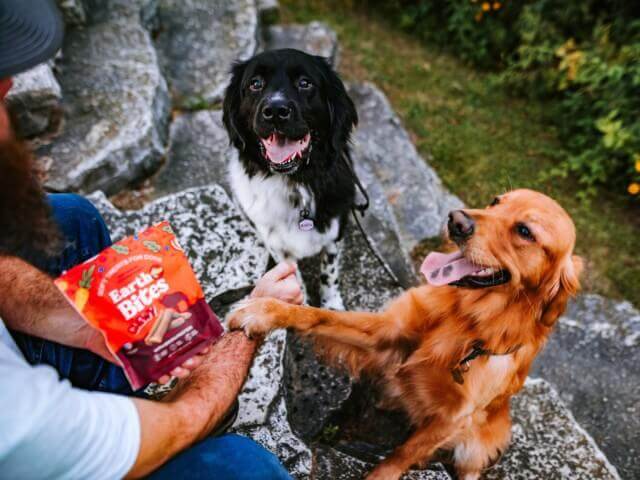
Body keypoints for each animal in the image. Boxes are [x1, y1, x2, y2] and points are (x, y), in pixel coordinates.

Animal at [222, 48, 358, 310]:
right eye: (255, 83)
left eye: (305, 83)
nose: (276, 111)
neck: (296, 182)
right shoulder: (277, 245)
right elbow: (294, 279)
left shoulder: (336, 229)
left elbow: (329, 271)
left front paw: (332, 306)